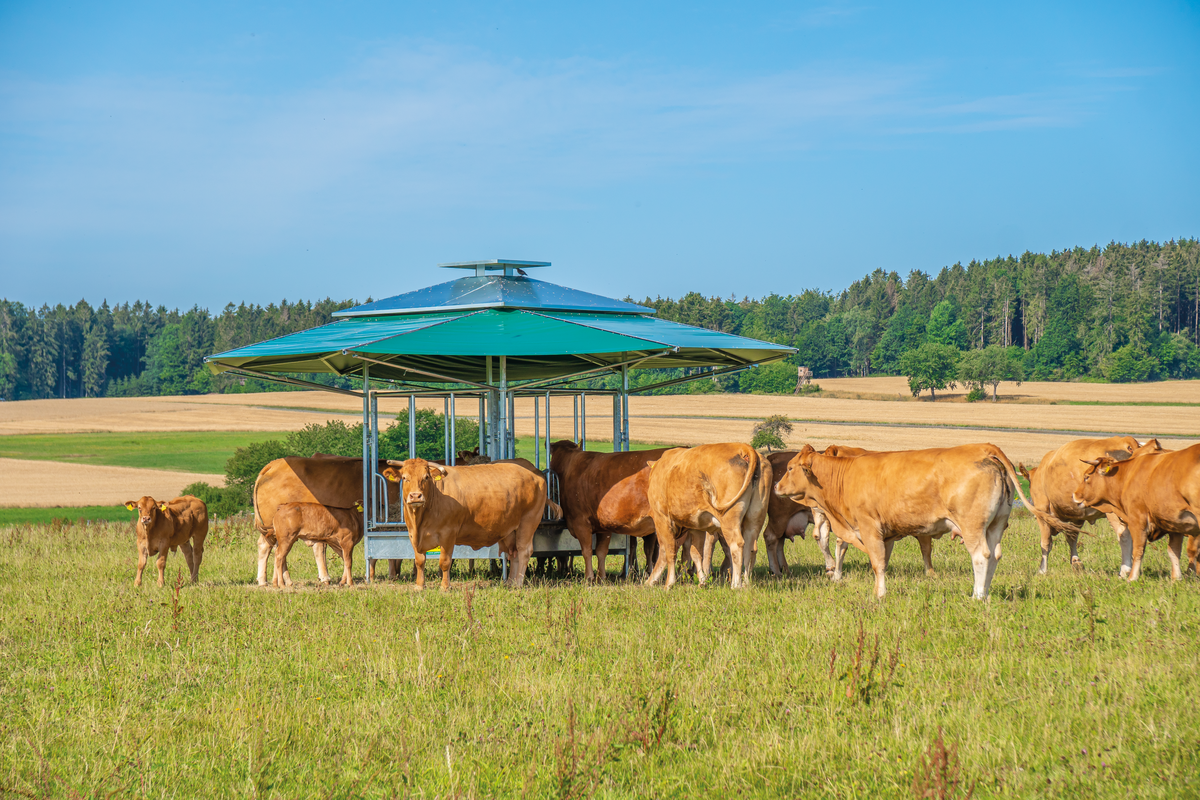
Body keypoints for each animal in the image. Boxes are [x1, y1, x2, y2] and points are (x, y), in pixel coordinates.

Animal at [549, 438, 681, 582]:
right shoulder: (603, 525)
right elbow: (601, 551)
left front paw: (589, 577)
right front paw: (601, 577)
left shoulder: (580, 522)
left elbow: (587, 550)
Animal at [648, 443, 768, 587]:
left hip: (730, 519)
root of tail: (742, 447)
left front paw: (667, 583)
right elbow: (696, 553)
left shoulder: (662, 519)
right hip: (755, 519)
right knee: (751, 548)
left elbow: (669, 550)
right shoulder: (696, 526)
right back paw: (745, 583)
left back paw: (735, 585)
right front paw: (702, 581)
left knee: (737, 545)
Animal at [1022, 438, 1161, 575]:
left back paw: (1125, 570)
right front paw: (1076, 563)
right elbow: (1072, 537)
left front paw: (1042, 570)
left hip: (1114, 512)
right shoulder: (1077, 515)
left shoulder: (1042, 511)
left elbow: (1046, 543)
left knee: (1124, 535)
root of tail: (1127, 442)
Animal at [1070, 443, 1200, 582]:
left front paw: (1132, 577)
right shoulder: (1174, 524)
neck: (1128, 476)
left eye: (1086, 477)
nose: (1074, 495)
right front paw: (1176, 578)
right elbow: (1174, 552)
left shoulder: (1137, 520)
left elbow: (1138, 550)